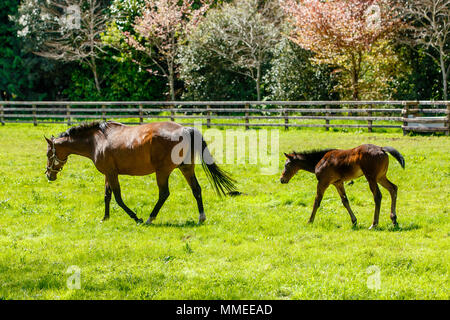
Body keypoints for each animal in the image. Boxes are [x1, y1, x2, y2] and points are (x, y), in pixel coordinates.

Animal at [44, 120, 237, 225]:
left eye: (48, 154)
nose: (48, 175)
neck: (96, 140)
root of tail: (185, 129)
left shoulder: (112, 174)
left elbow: (118, 198)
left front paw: (135, 218)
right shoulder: (108, 173)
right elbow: (107, 196)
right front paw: (105, 217)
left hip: (162, 172)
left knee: (164, 194)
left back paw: (150, 218)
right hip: (186, 168)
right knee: (196, 189)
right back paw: (201, 217)